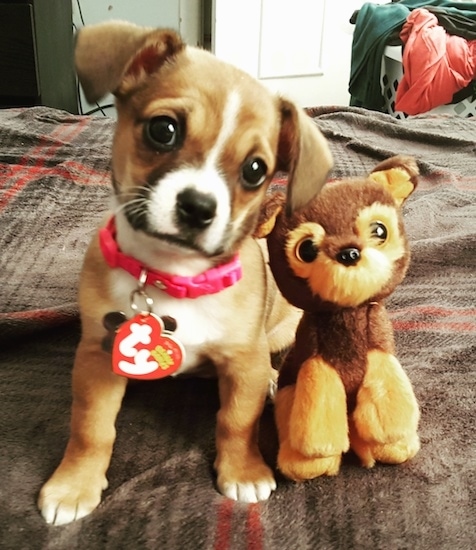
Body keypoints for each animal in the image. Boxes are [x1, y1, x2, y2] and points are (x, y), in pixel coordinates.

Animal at [38, 21, 330, 528]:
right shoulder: (96, 358)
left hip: (277, 335)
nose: (198, 207)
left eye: (256, 170)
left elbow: (237, 421)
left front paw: (243, 470)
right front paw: (74, 484)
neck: (171, 277)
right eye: (163, 129)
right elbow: (90, 427)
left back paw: (275, 381)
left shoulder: (244, 361)